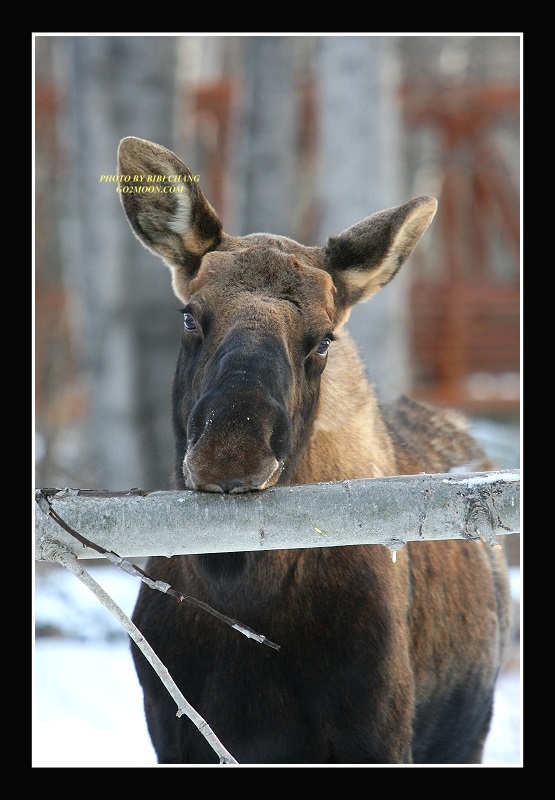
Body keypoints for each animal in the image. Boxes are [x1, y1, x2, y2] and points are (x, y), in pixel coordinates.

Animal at [117, 136, 512, 765]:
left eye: (325, 339)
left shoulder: (374, 733)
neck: (240, 590)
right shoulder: (172, 727)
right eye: (190, 316)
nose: (231, 455)